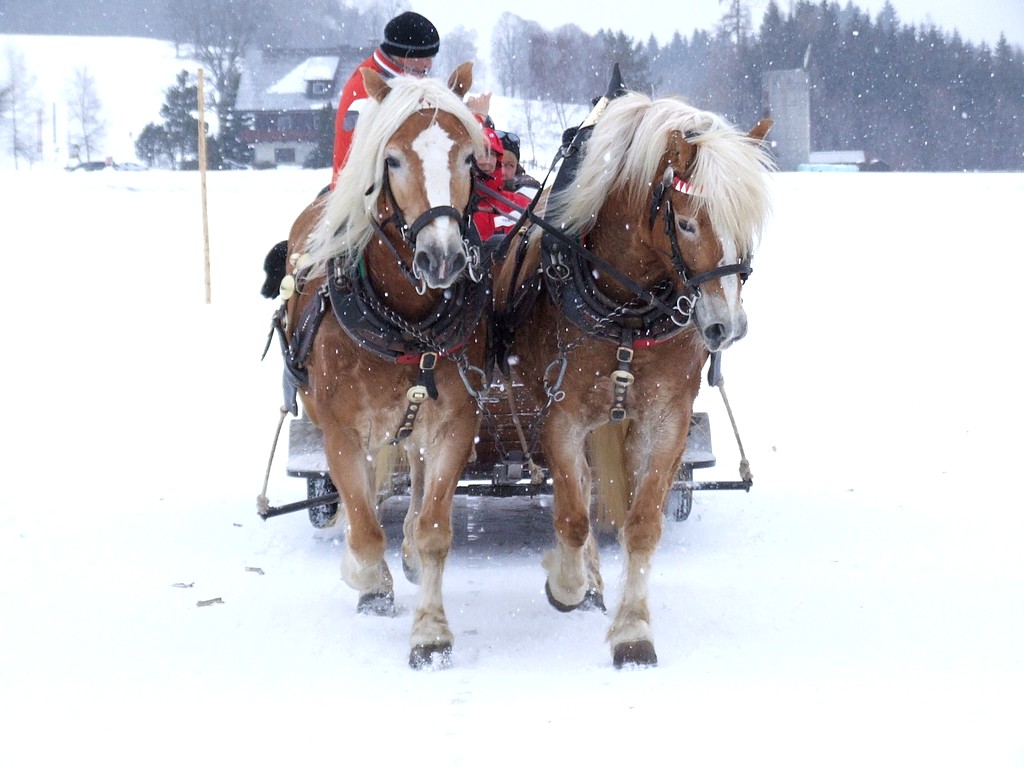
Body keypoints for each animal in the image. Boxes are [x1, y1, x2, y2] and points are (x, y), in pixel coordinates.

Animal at [272, 63, 487, 671]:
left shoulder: (455, 422)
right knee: (364, 496)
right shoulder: (341, 431)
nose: (443, 258)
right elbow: (365, 528)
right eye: (391, 159)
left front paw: (431, 634)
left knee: (412, 474)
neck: (405, 323)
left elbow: (436, 529)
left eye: (469, 158)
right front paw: (367, 579)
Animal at [495, 85, 774, 667]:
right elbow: (572, 514)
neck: (627, 311)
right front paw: (567, 584)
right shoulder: (561, 415)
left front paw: (633, 631)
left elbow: (642, 524)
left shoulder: (667, 419)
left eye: (747, 224)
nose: (726, 326)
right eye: (686, 222)